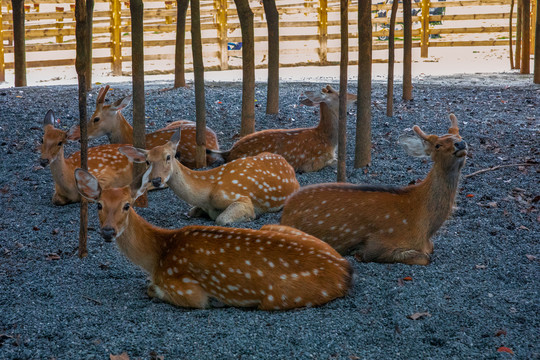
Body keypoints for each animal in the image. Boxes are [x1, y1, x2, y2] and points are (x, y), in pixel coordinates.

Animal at [74, 167, 352, 310]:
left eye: (127, 205)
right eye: (98, 204)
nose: (108, 231)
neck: (159, 256)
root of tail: (344, 269)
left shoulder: (188, 290)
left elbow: (153, 289)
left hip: (279, 297)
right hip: (277, 226)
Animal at [118, 127, 302, 225]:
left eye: (168, 157)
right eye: (147, 161)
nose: (156, 180)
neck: (206, 195)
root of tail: (288, 165)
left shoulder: (241, 198)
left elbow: (221, 219)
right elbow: (191, 211)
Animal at [206, 86, 354, 173]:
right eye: (338, 94)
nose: (355, 97)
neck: (328, 140)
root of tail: (229, 152)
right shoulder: (312, 163)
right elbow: (335, 162)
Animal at [280, 114, 466, 266]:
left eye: (460, 136)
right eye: (437, 145)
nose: (461, 143)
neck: (424, 228)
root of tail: (285, 212)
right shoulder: (380, 243)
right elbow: (424, 258)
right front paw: (357, 253)